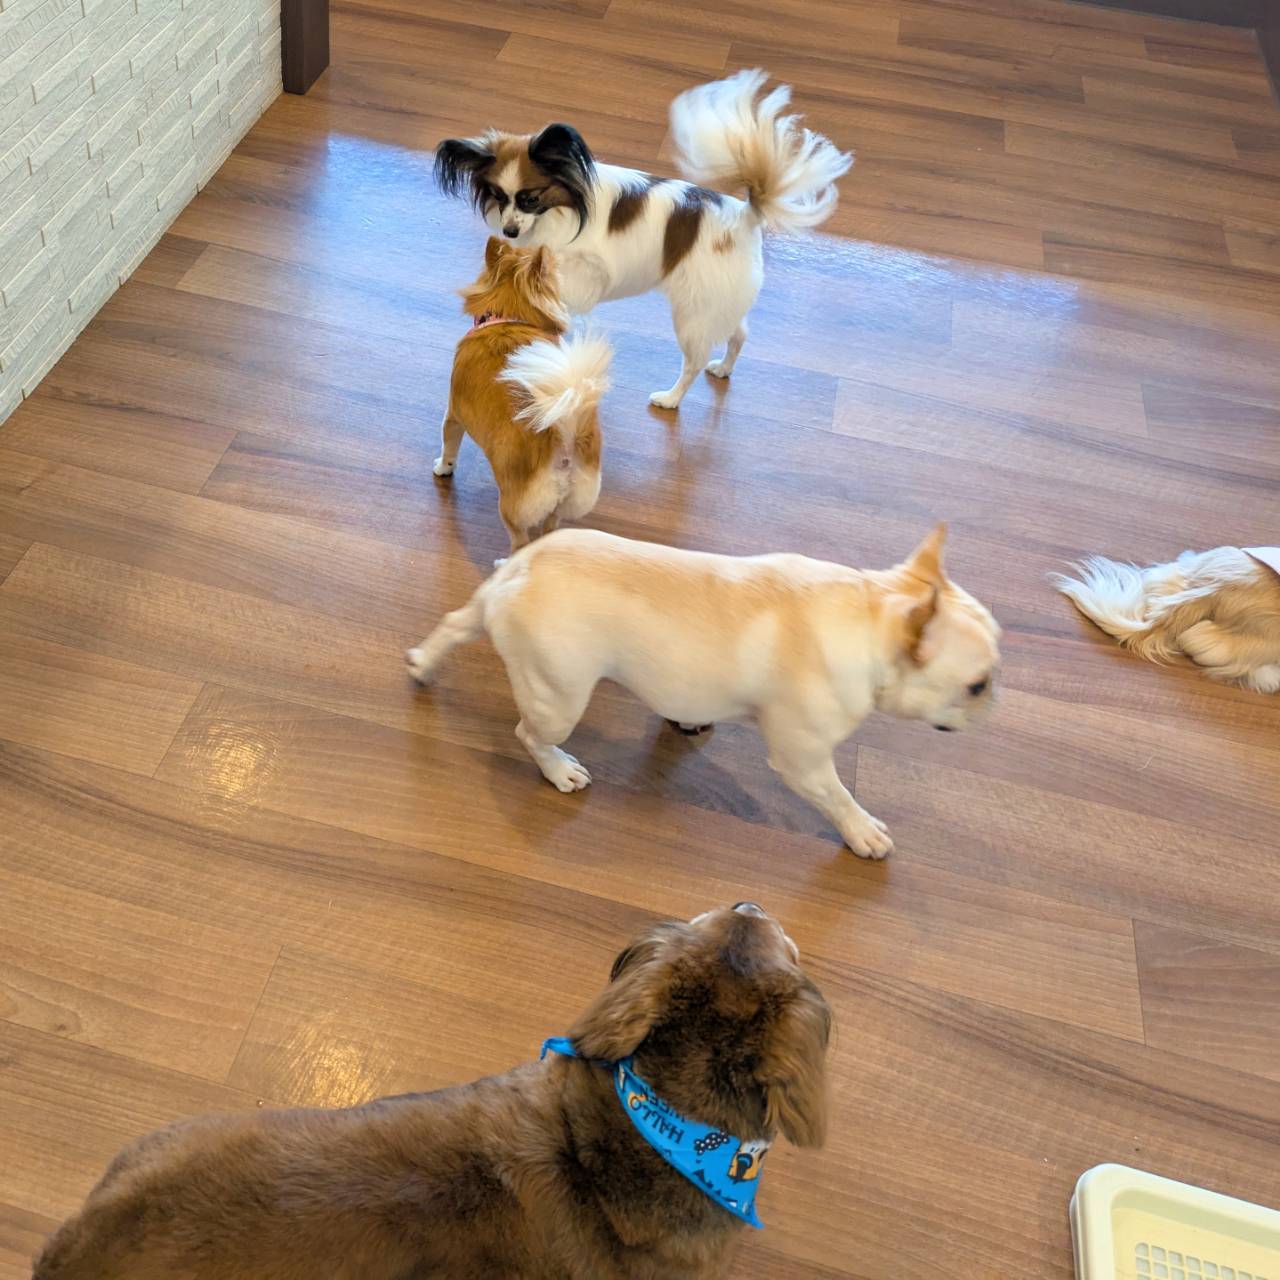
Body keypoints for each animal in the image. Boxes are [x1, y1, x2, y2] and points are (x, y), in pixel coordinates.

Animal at [407, 524, 1000, 858]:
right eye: (977, 684)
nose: (996, 695)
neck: (871, 611)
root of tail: (520, 572)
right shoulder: (803, 762)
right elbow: (839, 796)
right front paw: (862, 832)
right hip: (559, 696)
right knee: (529, 733)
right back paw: (558, 769)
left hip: (489, 617)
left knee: (454, 625)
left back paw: (422, 663)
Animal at [434, 69, 852, 410]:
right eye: (498, 197)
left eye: (529, 198)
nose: (509, 231)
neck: (566, 205)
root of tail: (744, 215)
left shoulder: (585, 270)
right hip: (715, 304)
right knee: (738, 334)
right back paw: (723, 369)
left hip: (691, 317)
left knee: (693, 363)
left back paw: (670, 399)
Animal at [435, 238, 612, 556]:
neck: (508, 316)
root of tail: (564, 439)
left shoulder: (453, 414)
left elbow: (449, 447)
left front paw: (443, 468)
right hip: (560, 506)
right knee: (549, 530)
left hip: (512, 508)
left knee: (520, 541)